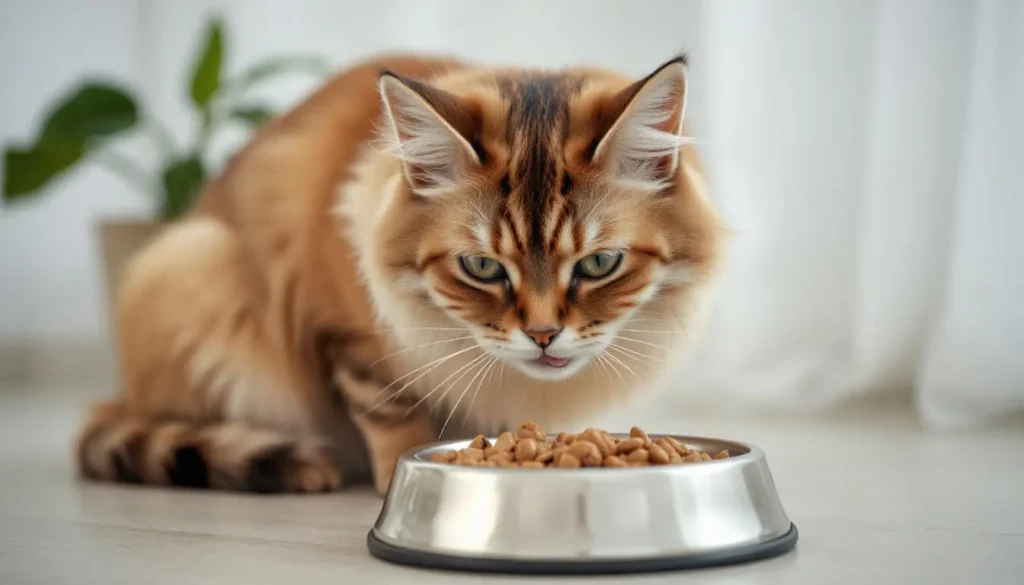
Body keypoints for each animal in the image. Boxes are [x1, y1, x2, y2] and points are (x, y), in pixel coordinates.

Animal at [75, 53, 724, 493]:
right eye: (481, 267)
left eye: (598, 263)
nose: (542, 336)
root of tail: (120, 396)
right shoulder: (345, 330)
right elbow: (390, 412)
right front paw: (401, 474)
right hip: (194, 266)